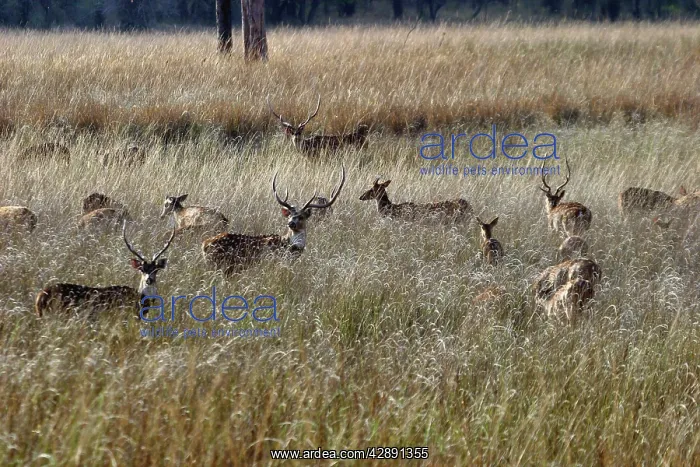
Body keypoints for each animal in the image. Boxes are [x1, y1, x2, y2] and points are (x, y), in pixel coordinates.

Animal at [202, 166, 345, 275]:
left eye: (301, 217)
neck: (290, 248)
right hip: (220, 264)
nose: (290, 223)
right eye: (289, 215)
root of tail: (204, 245)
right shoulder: (271, 260)